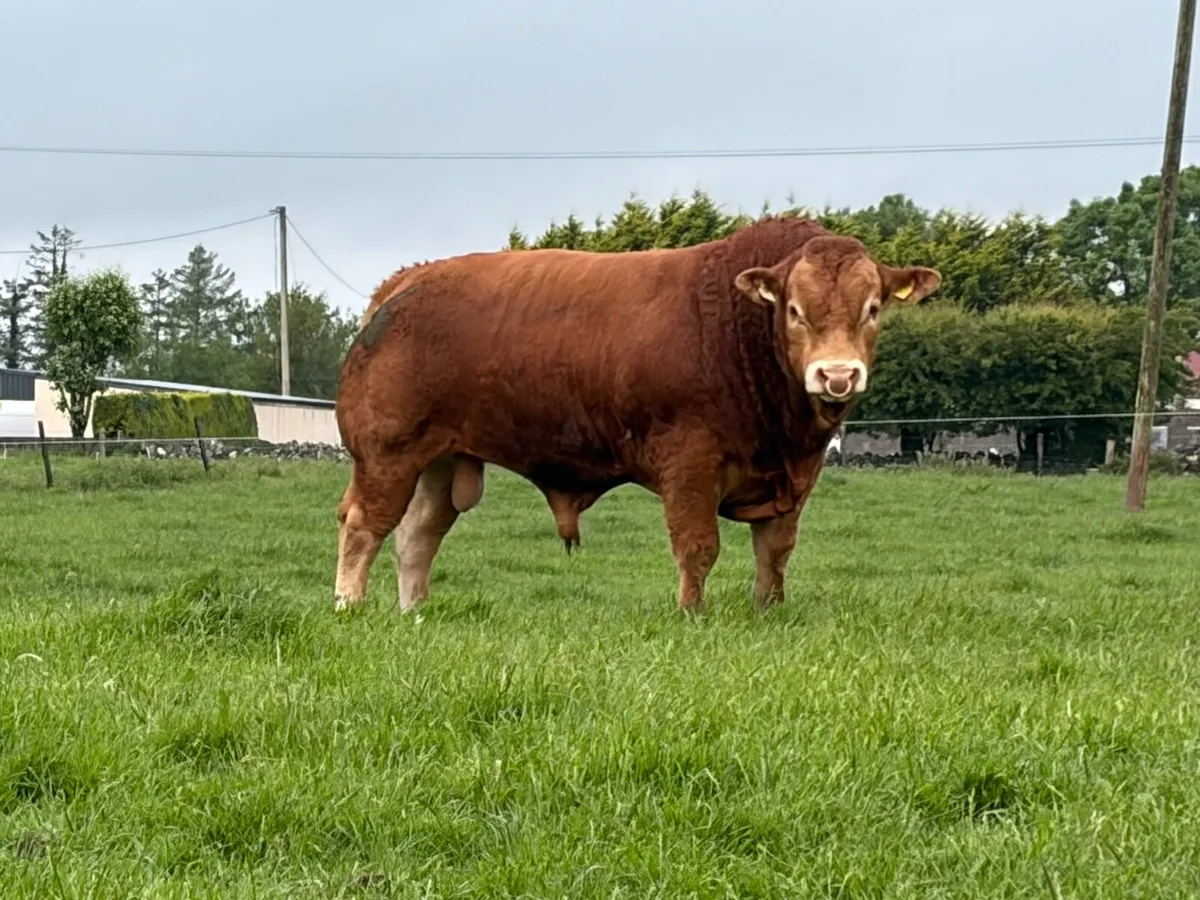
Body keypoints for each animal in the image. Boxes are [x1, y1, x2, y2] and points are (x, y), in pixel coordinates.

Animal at [333, 216, 940, 614]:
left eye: (873, 309)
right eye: (794, 310)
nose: (837, 375)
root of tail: (408, 278)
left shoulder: (794, 479)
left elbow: (774, 553)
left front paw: (767, 612)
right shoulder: (691, 462)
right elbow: (697, 547)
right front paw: (692, 615)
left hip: (440, 460)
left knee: (417, 534)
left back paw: (414, 612)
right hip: (387, 455)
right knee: (364, 525)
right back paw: (351, 607)